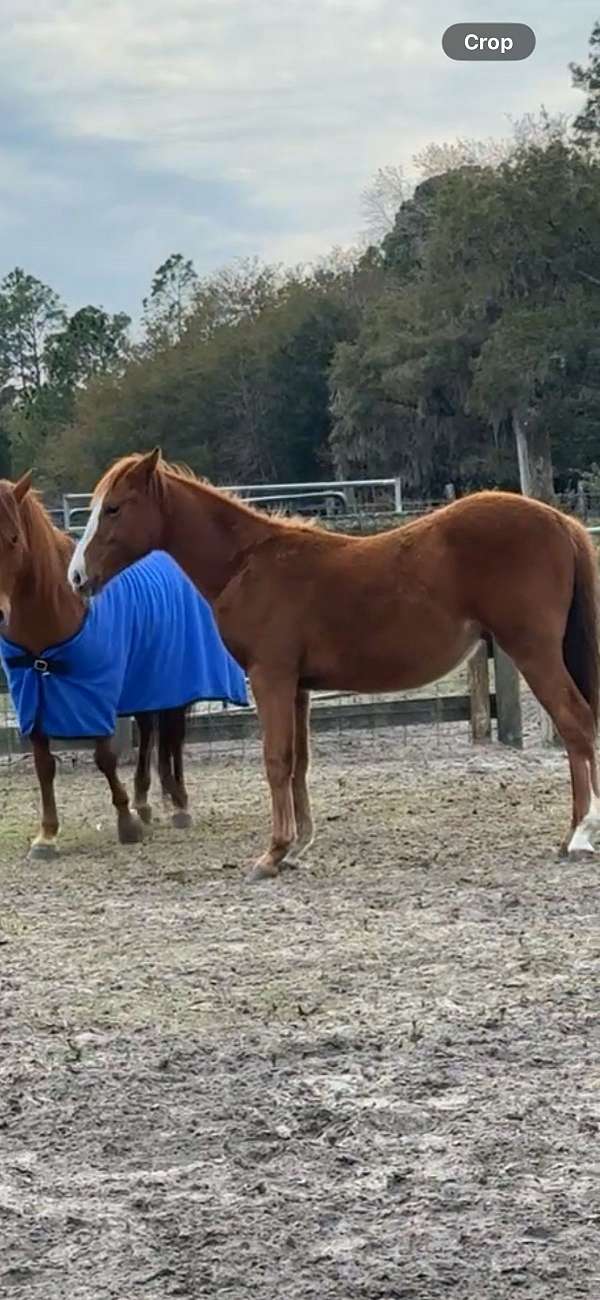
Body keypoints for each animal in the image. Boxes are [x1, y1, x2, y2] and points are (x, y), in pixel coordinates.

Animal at [0, 471, 247, 858]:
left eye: (13, 538)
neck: (59, 610)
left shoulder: (98, 692)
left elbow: (105, 757)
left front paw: (125, 821)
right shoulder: (32, 697)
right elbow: (44, 765)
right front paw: (47, 835)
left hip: (176, 681)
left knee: (173, 736)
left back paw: (178, 804)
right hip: (144, 683)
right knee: (148, 733)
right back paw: (146, 801)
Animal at [69, 449, 600, 881]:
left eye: (114, 508)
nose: (76, 577)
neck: (247, 563)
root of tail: (560, 521)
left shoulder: (271, 677)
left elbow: (276, 760)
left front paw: (272, 854)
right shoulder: (299, 686)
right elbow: (299, 763)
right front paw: (297, 846)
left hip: (533, 651)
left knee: (576, 723)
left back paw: (579, 834)